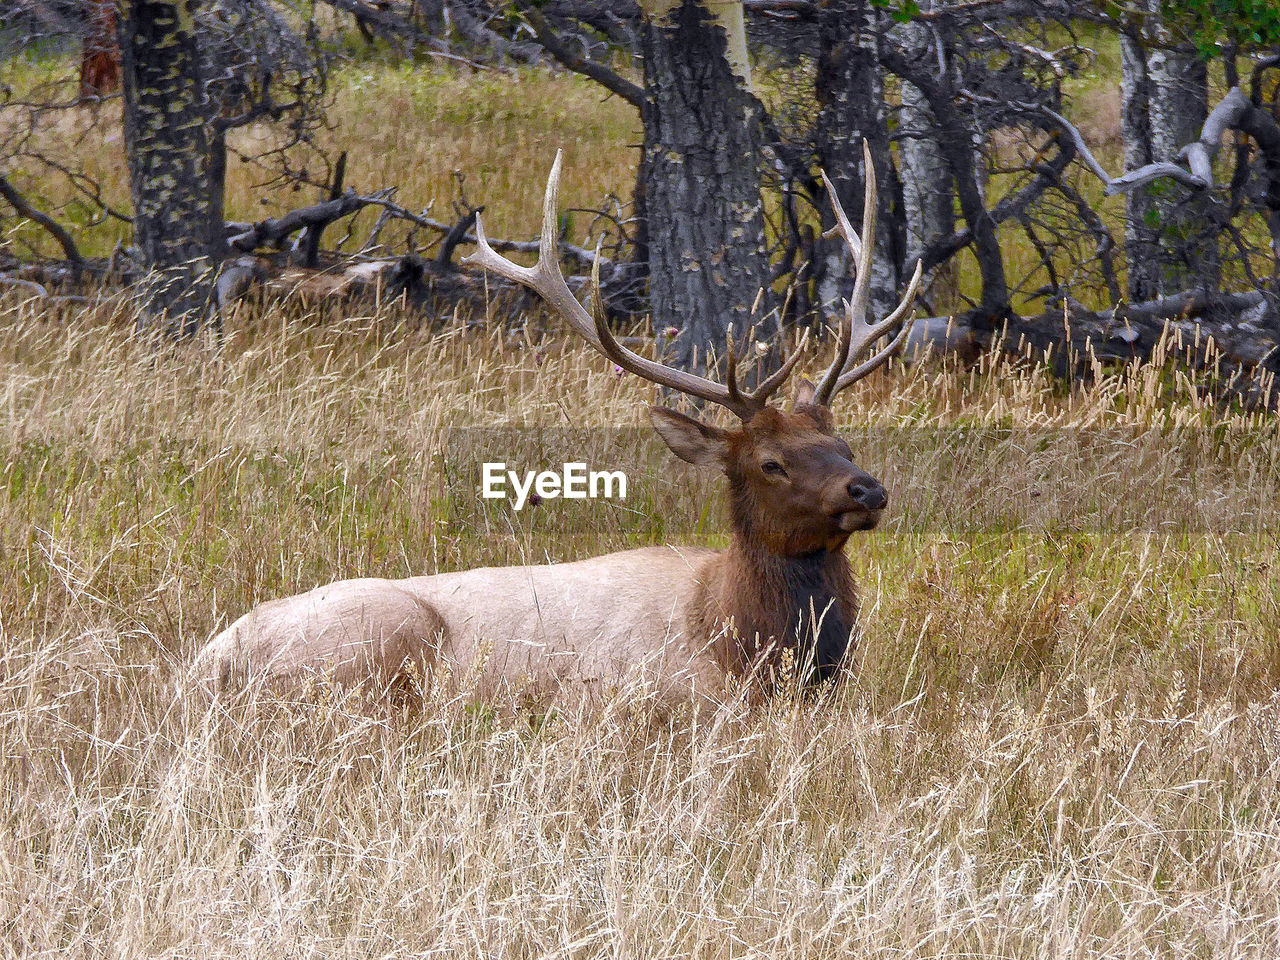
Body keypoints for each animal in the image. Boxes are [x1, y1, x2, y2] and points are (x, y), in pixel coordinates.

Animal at [192, 148, 921, 706]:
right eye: (770, 462)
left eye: (843, 443)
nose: (867, 489)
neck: (739, 637)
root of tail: (209, 662)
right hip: (376, 642)